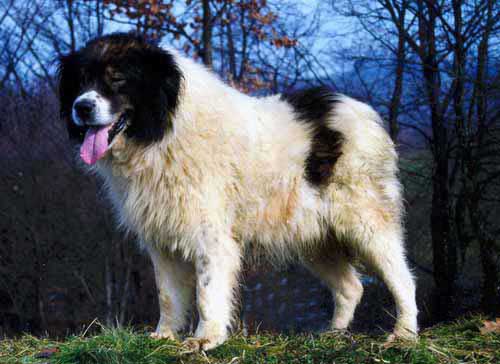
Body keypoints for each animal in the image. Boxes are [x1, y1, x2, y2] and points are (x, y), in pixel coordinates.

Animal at [57, 33, 418, 350]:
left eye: (116, 79)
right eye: (81, 81)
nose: (82, 107)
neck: (164, 129)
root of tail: (359, 110)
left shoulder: (210, 236)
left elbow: (206, 292)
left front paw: (205, 339)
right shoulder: (162, 239)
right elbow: (167, 295)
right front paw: (164, 336)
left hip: (366, 223)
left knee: (403, 280)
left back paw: (404, 334)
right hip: (316, 239)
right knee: (351, 288)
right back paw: (334, 334)